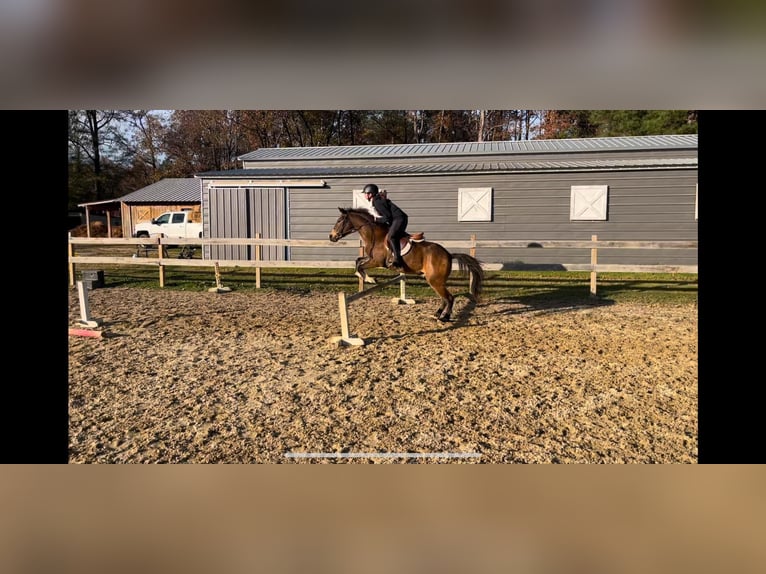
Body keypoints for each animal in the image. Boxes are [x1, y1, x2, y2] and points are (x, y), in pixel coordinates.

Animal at [330, 208, 486, 324]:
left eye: (339, 221)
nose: (331, 237)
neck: (375, 235)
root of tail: (448, 254)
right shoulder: (370, 258)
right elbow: (358, 261)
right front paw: (364, 277)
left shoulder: (377, 262)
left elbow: (361, 266)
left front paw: (370, 279)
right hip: (435, 281)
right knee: (444, 298)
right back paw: (437, 314)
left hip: (435, 280)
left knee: (449, 298)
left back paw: (445, 317)